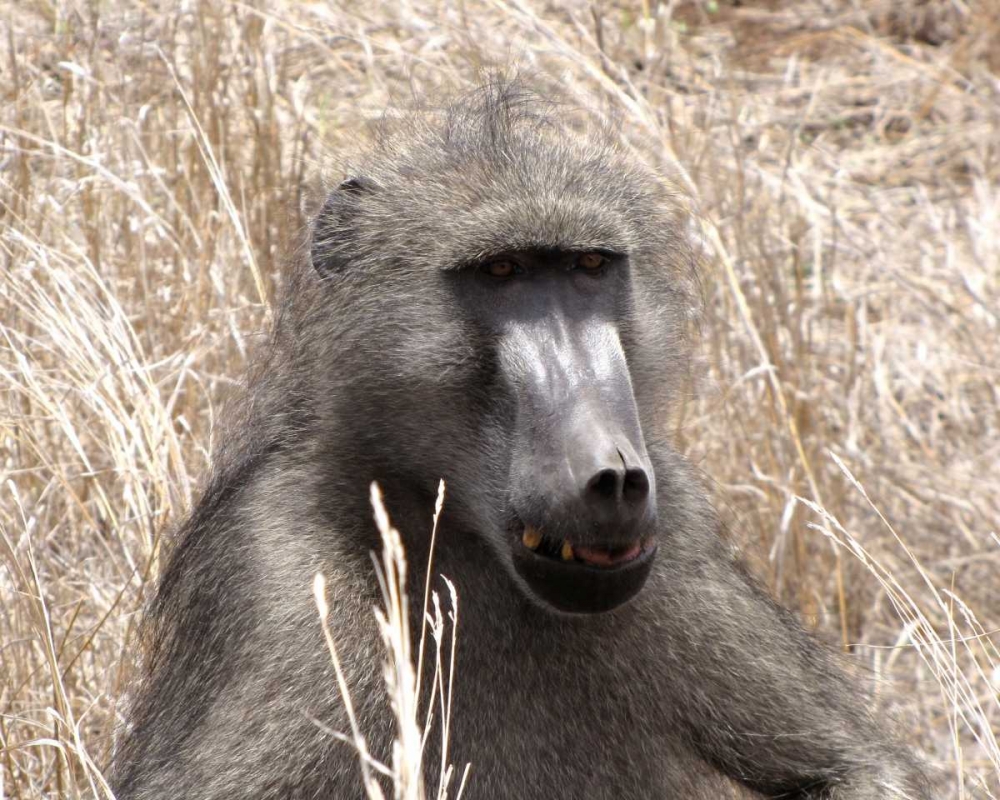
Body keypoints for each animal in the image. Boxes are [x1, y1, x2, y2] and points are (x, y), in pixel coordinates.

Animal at [110, 79, 930, 800]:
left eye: (589, 267)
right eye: (502, 271)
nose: (614, 478)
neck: (441, 525)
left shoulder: (681, 539)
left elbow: (857, 771)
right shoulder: (278, 574)